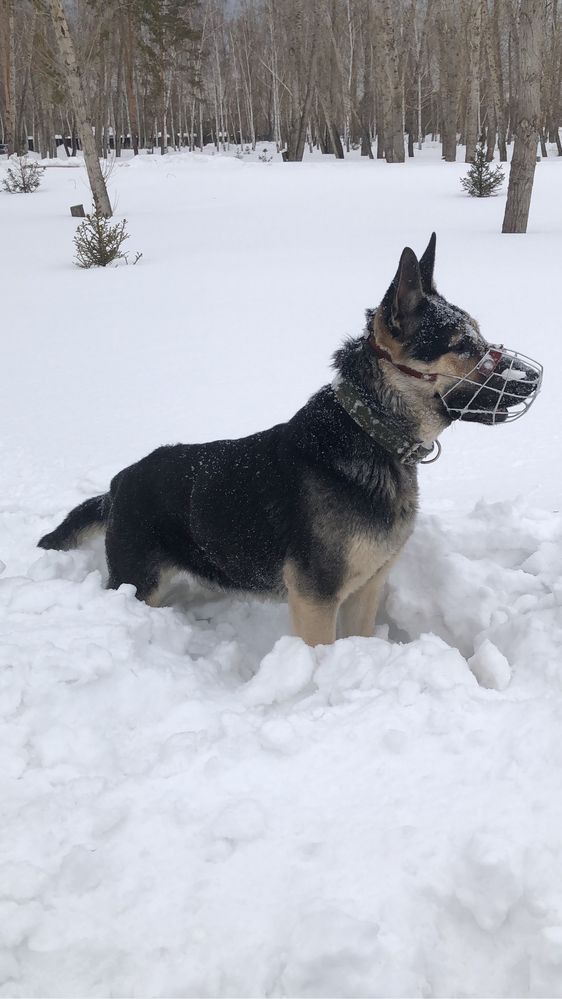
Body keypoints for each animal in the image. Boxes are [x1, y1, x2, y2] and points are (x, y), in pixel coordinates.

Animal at [39, 239, 540, 652]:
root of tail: (118, 482)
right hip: (138, 583)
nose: (533, 377)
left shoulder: (367, 588)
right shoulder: (315, 597)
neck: (370, 432)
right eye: (463, 346)